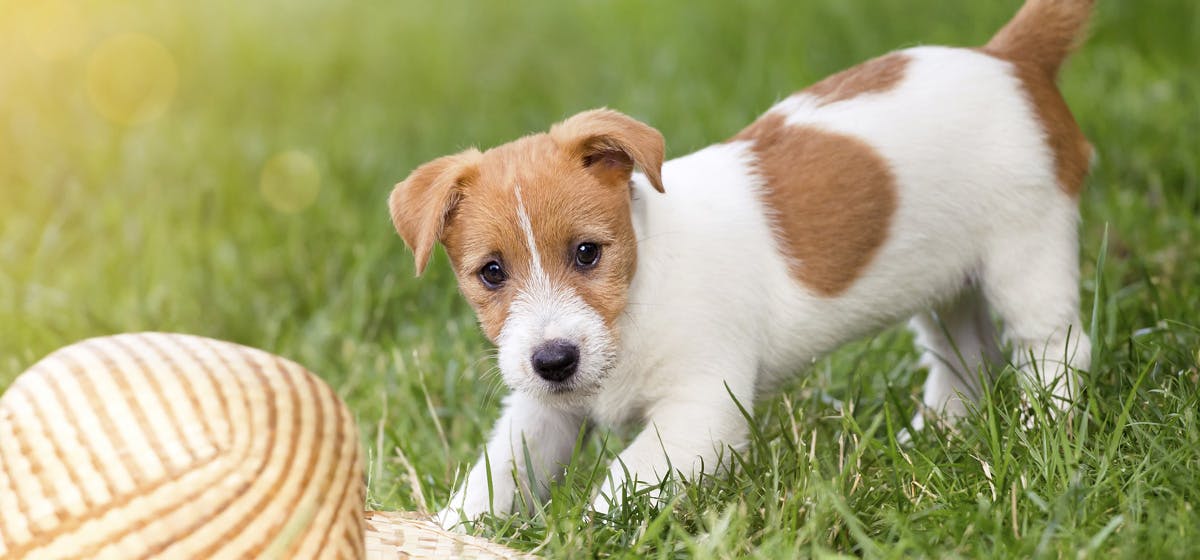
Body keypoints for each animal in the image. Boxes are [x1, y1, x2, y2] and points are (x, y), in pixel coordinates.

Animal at [388, 0, 1094, 525]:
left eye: (587, 253)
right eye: (492, 272)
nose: (554, 361)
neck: (639, 293)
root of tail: (1010, 58)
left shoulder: (700, 412)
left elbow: (619, 485)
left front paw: (589, 535)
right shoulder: (545, 412)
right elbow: (497, 475)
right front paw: (450, 532)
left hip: (1025, 252)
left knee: (1055, 348)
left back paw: (1043, 436)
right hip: (946, 280)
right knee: (965, 358)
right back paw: (934, 440)